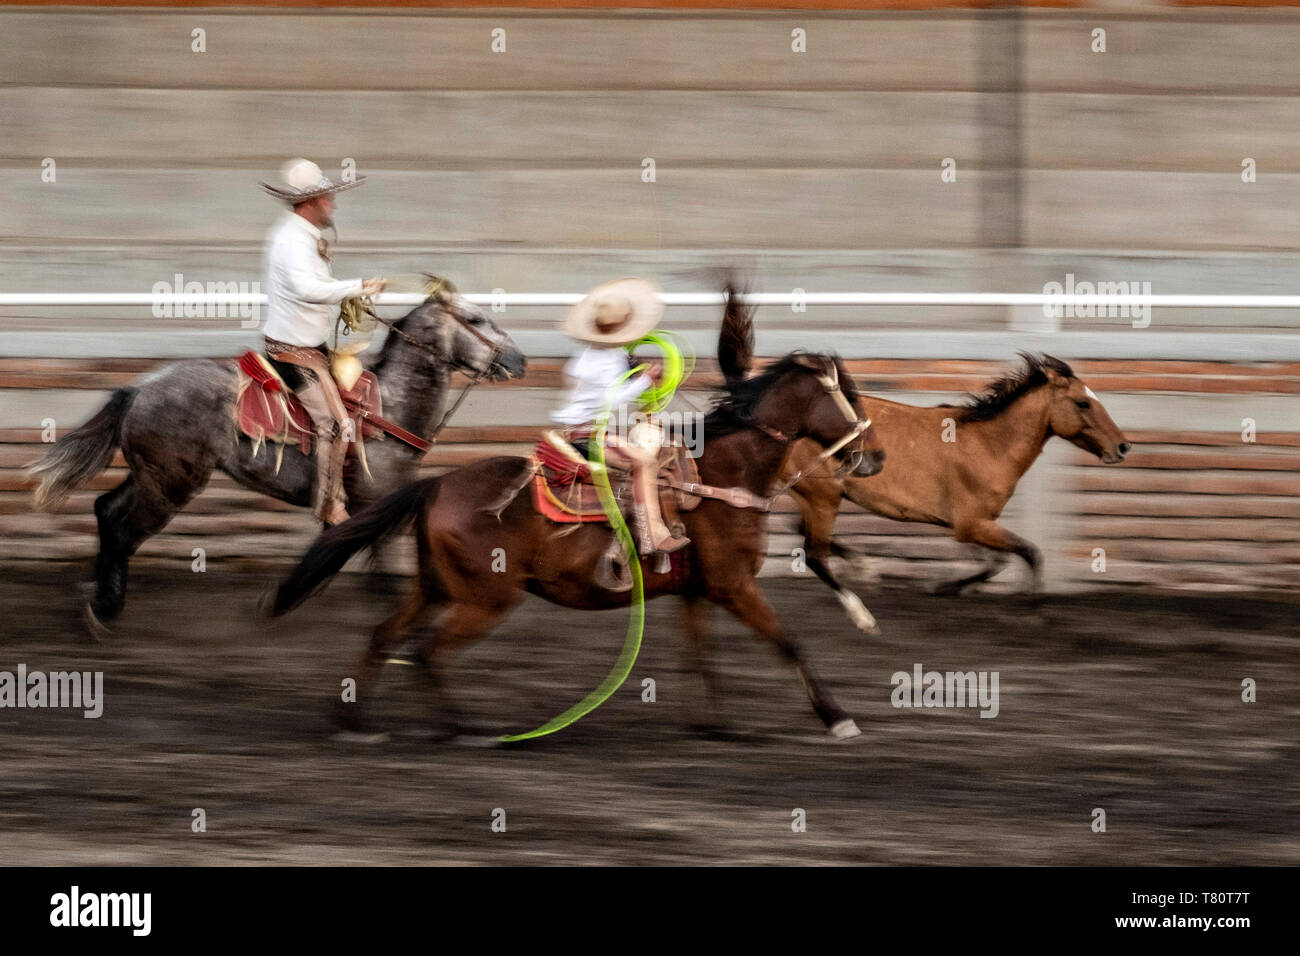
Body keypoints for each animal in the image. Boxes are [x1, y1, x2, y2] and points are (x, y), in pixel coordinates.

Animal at [269, 335, 889, 738]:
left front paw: (713, 725)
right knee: (426, 650)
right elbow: (790, 643)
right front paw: (838, 718)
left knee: (385, 636)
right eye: (851, 394)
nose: (876, 457)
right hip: (487, 599)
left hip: (435, 586)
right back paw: (462, 726)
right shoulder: (734, 586)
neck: (724, 475)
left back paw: (354, 721)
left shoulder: (697, 591)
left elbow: (699, 655)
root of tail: (437, 483)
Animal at [780, 356, 1128, 632]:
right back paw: (861, 612)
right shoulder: (970, 525)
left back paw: (865, 570)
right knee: (814, 552)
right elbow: (1030, 552)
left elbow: (998, 562)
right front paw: (1033, 612)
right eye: (1083, 403)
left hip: (814, 494)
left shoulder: (971, 524)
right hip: (823, 495)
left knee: (800, 530)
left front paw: (945, 586)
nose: (1123, 446)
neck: (989, 444)